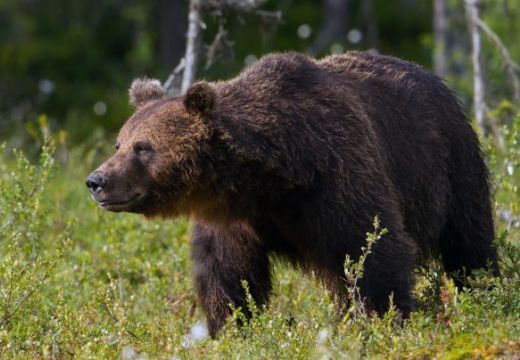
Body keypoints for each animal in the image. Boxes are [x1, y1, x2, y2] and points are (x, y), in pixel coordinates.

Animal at [86, 50, 500, 338]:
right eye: (119, 142)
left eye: (142, 147)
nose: (96, 181)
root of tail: (435, 77)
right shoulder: (233, 218)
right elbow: (226, 274)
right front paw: (229, 329)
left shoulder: (337, 179)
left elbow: (373, 249)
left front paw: (379, 323)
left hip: (450, 161)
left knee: (468, 238)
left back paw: (485, 291)